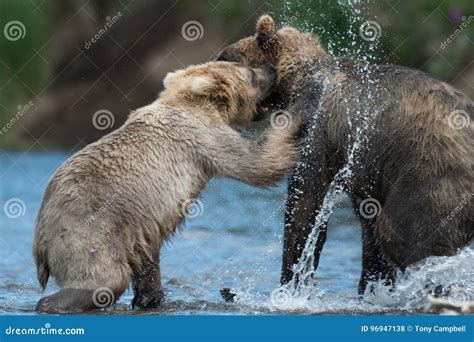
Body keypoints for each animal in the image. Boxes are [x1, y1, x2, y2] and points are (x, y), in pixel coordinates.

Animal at [33, 60, 302, 312]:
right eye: (249, 72)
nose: (270, 67)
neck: (199, 102)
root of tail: (40, 243)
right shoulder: (203, 136)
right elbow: (256, 164)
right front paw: (297, 112)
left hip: (130, 234)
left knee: (146, 266)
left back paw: (150, 299)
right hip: (87, 231)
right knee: (103, 279)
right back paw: (52, 302)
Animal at [218, 15, 474, 294]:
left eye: (225, 59)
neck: (295, 80)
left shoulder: (315, 128)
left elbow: (305, 208)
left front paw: (290, 286)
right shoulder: (366, 167)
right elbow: (368, 230)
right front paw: (373, 288)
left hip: (432, 174)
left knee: (404, 234)